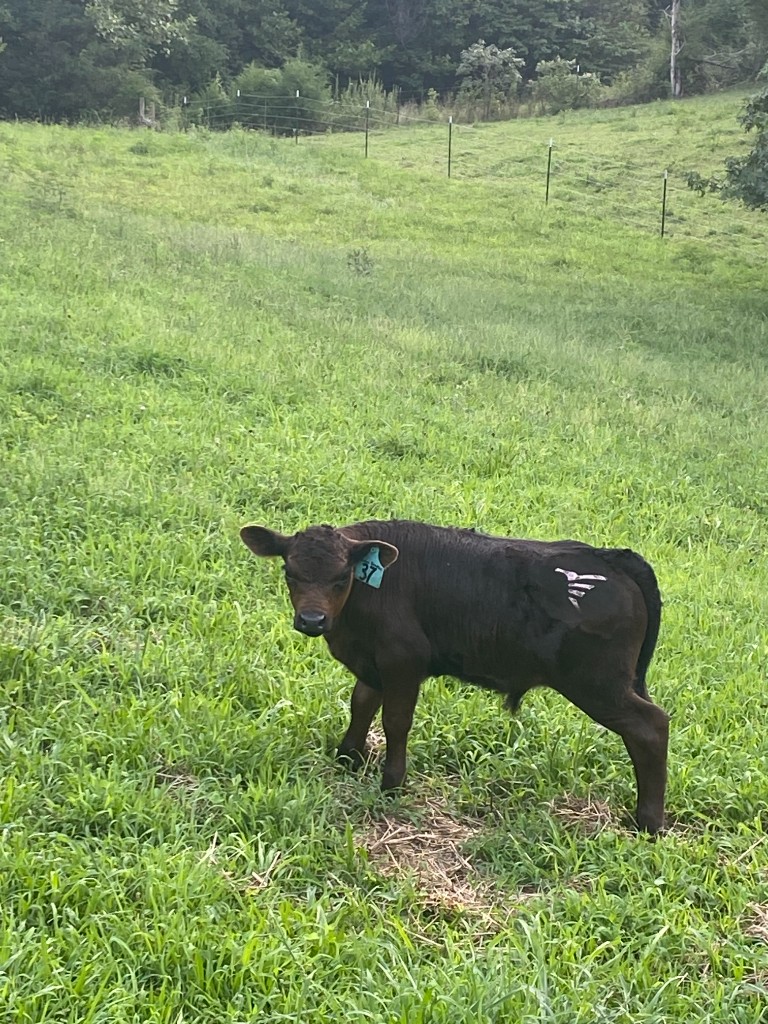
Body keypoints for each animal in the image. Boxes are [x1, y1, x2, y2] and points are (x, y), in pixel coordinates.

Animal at [240, 519, 668, 834]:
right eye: (290, 572)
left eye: (342, 577)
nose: (312, 620)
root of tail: (610, 558)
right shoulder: (373, 663)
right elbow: (360, 704)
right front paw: (348, 757)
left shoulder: (402, 660)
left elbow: (396, 720)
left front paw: (391, 782)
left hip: (597, 682)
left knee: (651, 726)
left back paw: (647, 822)